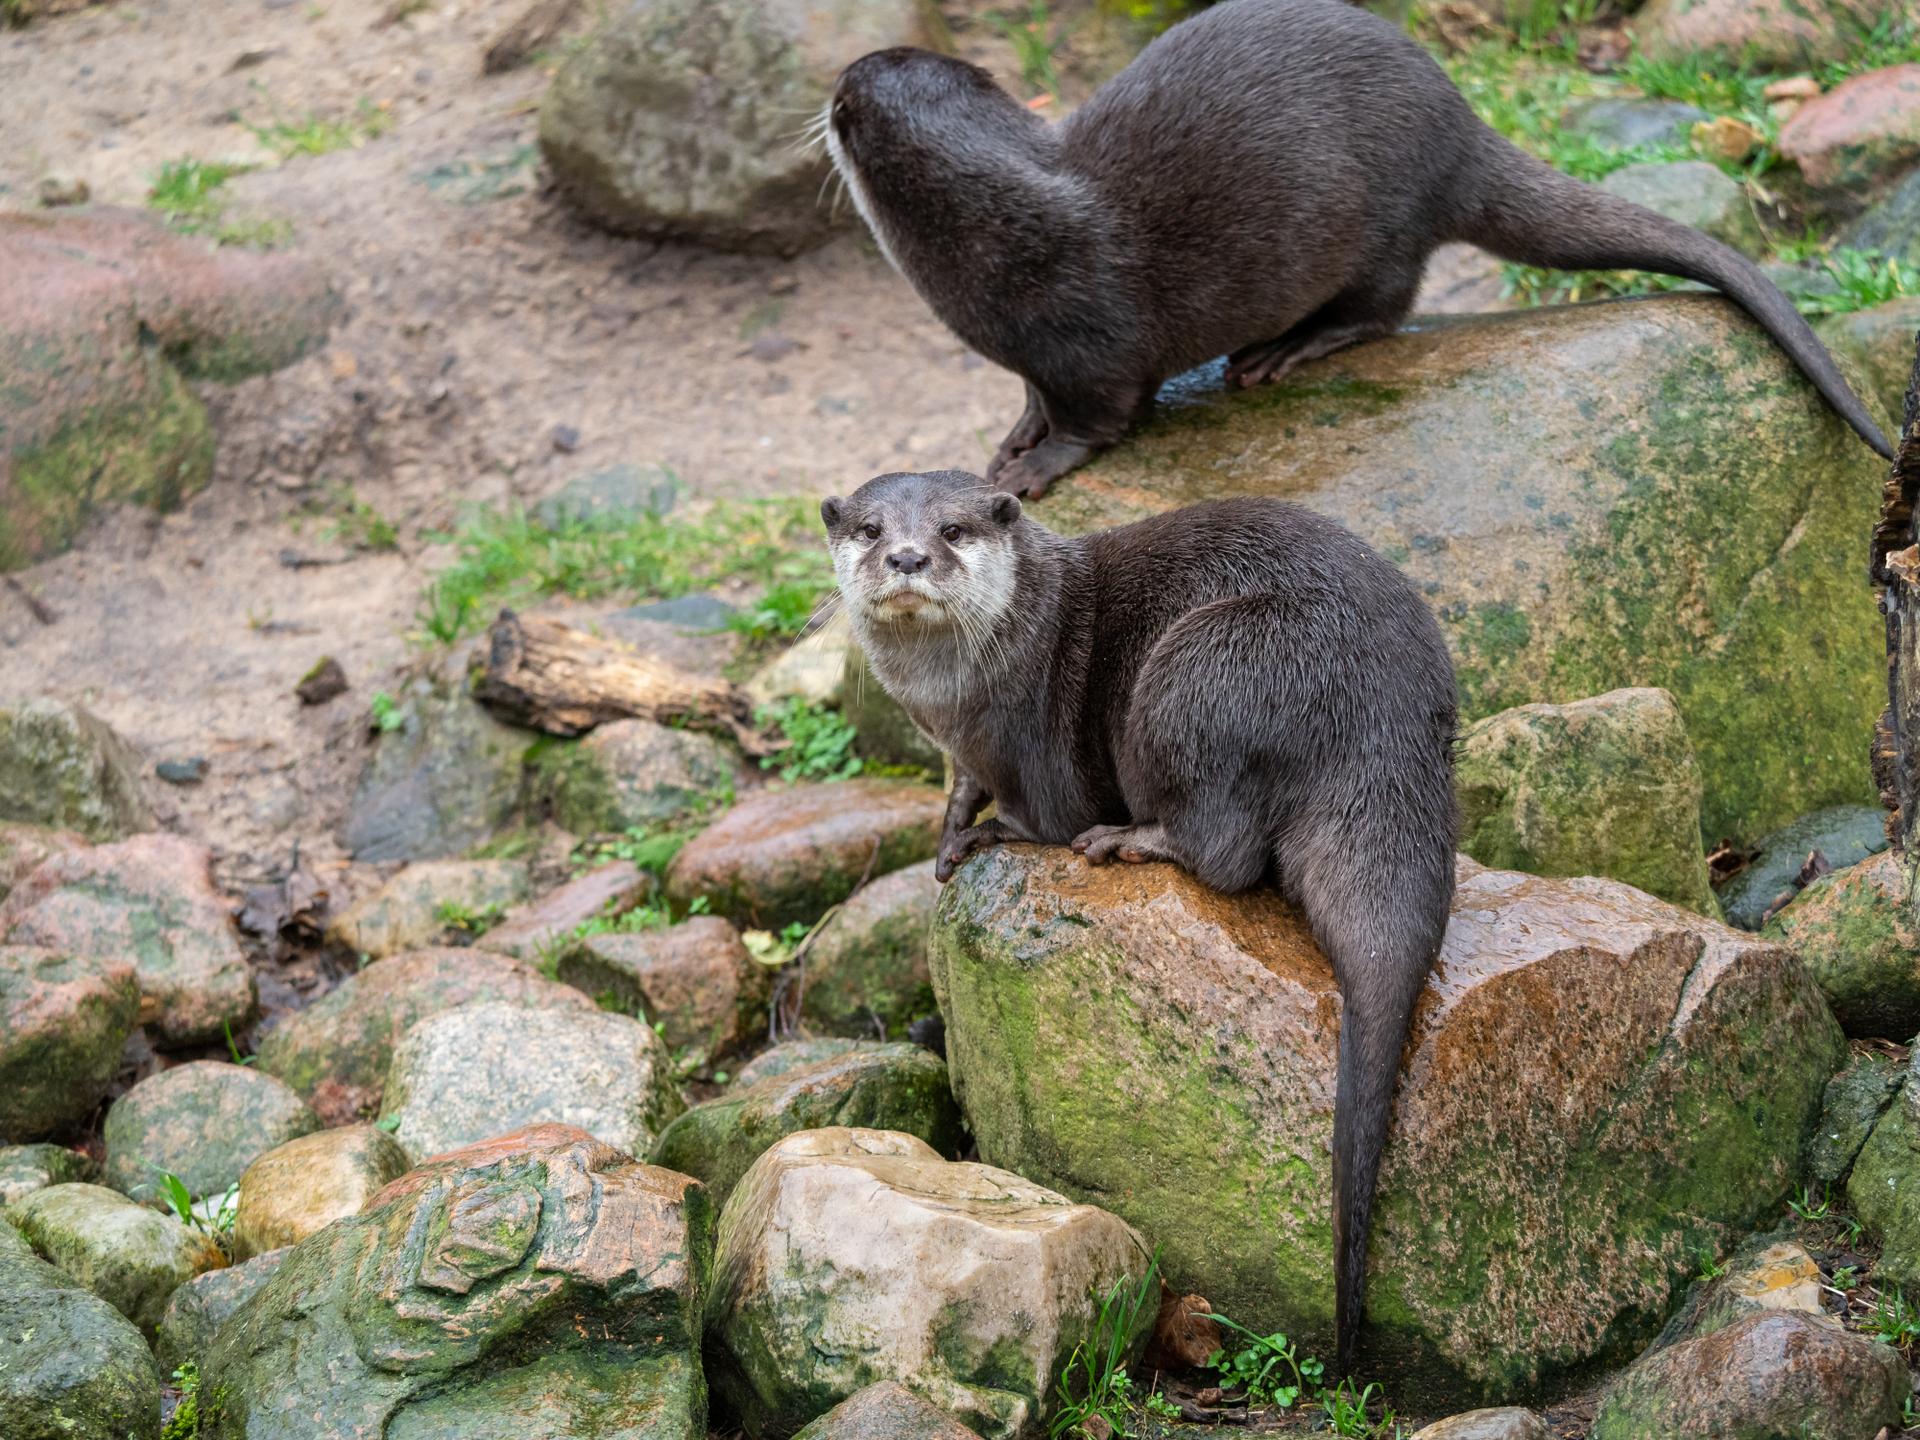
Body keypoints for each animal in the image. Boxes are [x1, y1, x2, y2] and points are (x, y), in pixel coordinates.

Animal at [817, 474, 1459, 1374]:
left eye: (955, 529)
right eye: (872, 528)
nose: (907, 557)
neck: (959, 698)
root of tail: (1385, 717)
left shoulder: (1037, 745)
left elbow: (1041, 815)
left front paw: (992, 832)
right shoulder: (966, 748)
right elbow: (962, 784)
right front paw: (950, 826)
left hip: (1208, 668)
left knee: (1227, 852)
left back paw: (1130, 839)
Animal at [825, 0, 1889, 503]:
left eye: (843, 94)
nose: (837, 79)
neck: (994, 226)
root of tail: (1460, 128)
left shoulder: (1090, 338)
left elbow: (1101, 417)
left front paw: (1035, 468)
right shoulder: (1035, 349)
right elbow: (1031, 394)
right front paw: (1014, 432)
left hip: (1379, 221)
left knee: (1386, 306)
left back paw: (1286, 350)